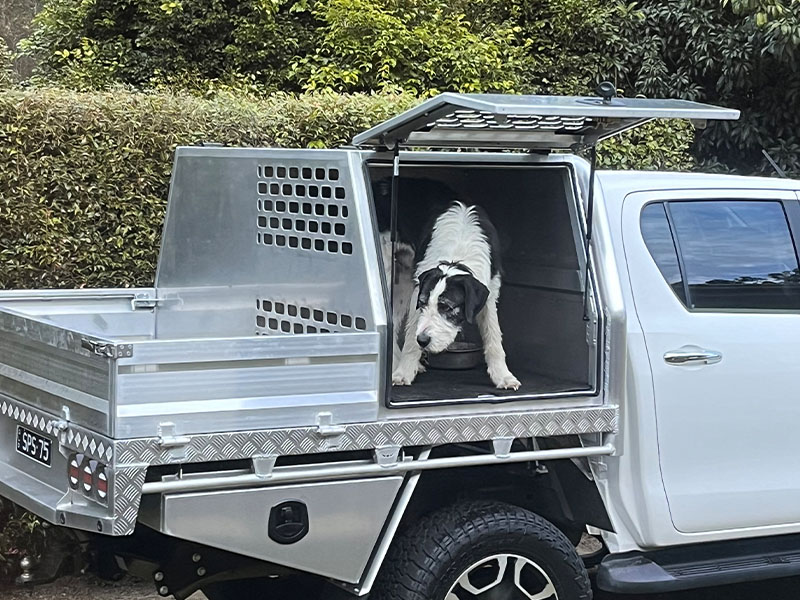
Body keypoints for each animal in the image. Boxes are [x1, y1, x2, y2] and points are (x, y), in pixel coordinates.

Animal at [392, 202, 520, 390]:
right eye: (422, 303)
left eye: (447, 307)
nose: (423, 340)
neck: (457, 256)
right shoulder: (417, 291)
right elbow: (410, 338)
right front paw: (403, 373)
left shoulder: (490, 293)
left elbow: (493, 336)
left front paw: (503, 377)